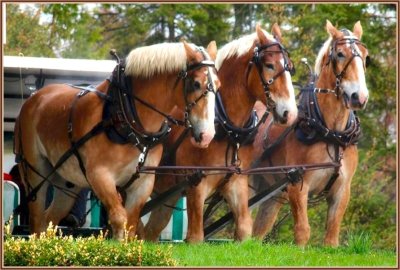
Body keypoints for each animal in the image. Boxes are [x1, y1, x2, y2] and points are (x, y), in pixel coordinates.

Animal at [15, 41, 220, 239]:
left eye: (218, 85)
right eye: (196, 84)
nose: (207, 135)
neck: (126, 116)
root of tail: (33, 98)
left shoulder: (143, 182)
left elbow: (130, 225)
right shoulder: (100, 175)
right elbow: (119, 219)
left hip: (67, 182)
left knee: (49, 220)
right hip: (36, 172)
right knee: (36, 218)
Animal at [143, 23, 296, 243]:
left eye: (289, 65)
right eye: (269, 65)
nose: (289, 113)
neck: (228, 128)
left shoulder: (236, 182)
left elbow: (244, 228)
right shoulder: (197, 185)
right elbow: (196, 236)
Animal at [252, 20, 370, 247]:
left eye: (365, 56)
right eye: (340, 54)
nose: (359, 97)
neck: (330, 132)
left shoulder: (342, 190)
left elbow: (331, 236)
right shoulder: (297, 184)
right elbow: (302, 231)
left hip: (270, 192)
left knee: (258, 230)